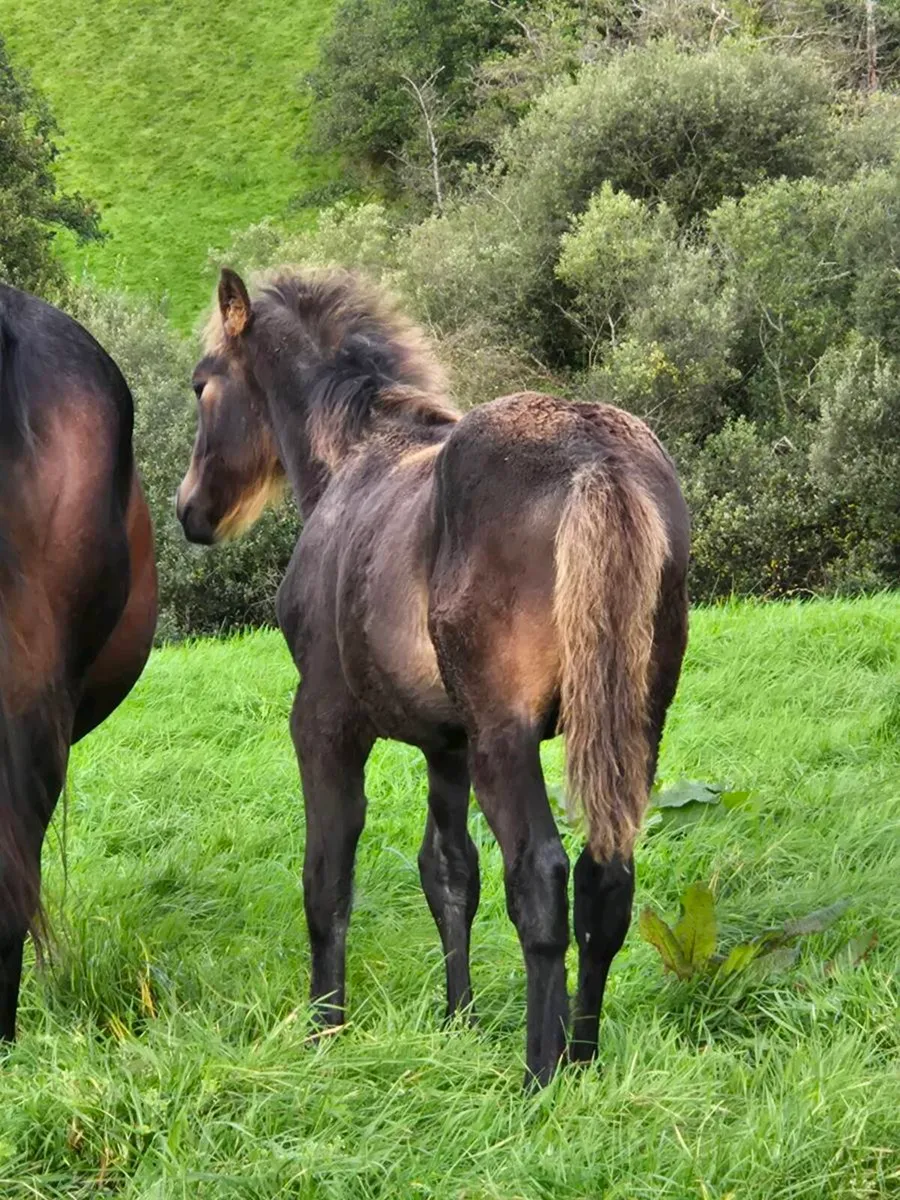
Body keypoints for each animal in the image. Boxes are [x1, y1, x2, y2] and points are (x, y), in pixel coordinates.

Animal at [176, 266, 689, 1086]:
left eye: (203, 383)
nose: (191, 510)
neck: (356, 461)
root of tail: (597, 460)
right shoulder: (445, 744)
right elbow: (449, 874)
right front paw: (459, 1021)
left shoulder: (323, 725)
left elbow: (327, 879)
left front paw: (324, 1032)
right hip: (634, 721)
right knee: (604, 879)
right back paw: (581, 1060)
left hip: (507, 735)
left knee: (541, 876)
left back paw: (541, 1076)